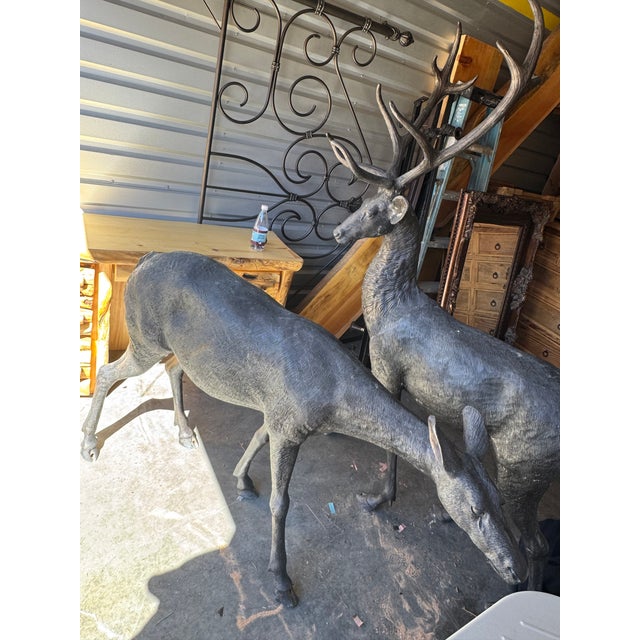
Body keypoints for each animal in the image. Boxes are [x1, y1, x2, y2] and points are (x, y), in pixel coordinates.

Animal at [81, 250, 527, 608]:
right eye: (474, 508)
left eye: (500, 499)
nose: (516, 568)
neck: (333, 400)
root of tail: (144, 260)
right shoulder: (290, 424)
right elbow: (281, 502)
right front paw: (282, 582)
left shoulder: (279, 415)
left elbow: (257, 435)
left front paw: (241, 479)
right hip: (143, 335)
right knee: (108, 371)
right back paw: (88, 443)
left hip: (177, 347)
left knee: (173, 368)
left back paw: (185, 432)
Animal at [326, 0, 558, 592]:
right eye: (360, 197)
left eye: (379, 208)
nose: (338, 233)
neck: (392, 308)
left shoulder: (389, 364)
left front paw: (377, 499)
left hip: (524, 465)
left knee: (534, 541)